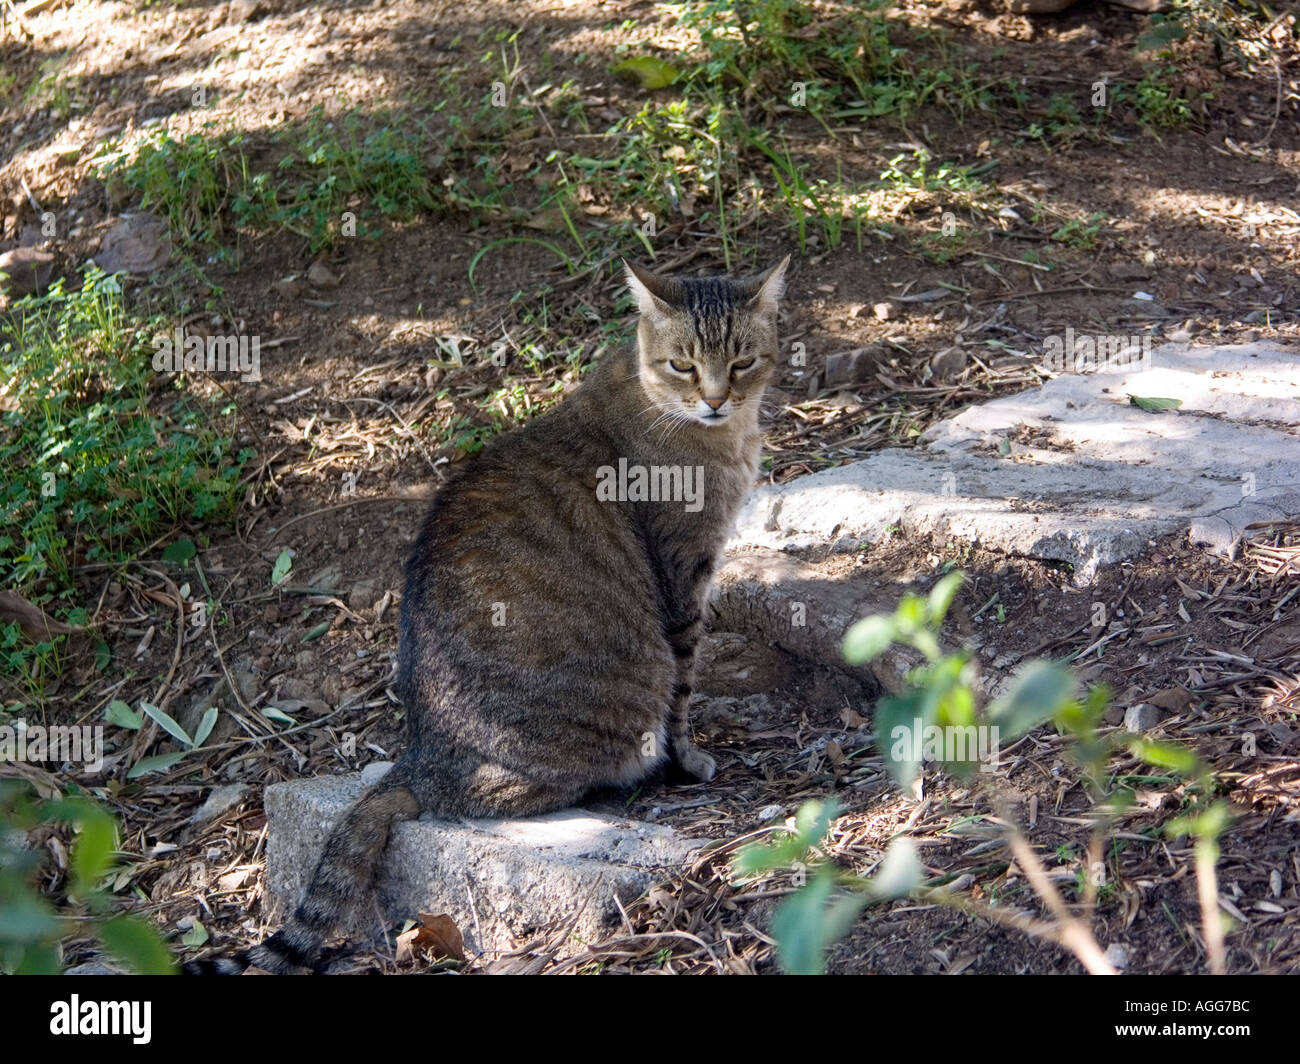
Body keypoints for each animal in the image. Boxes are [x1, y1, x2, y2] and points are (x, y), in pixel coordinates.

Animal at [189, 254, 790, 967]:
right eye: (683, 365)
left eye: (742, 361)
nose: (717, 398)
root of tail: (420, 757)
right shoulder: (683, 576)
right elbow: (684, 691)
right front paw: (688, 760)